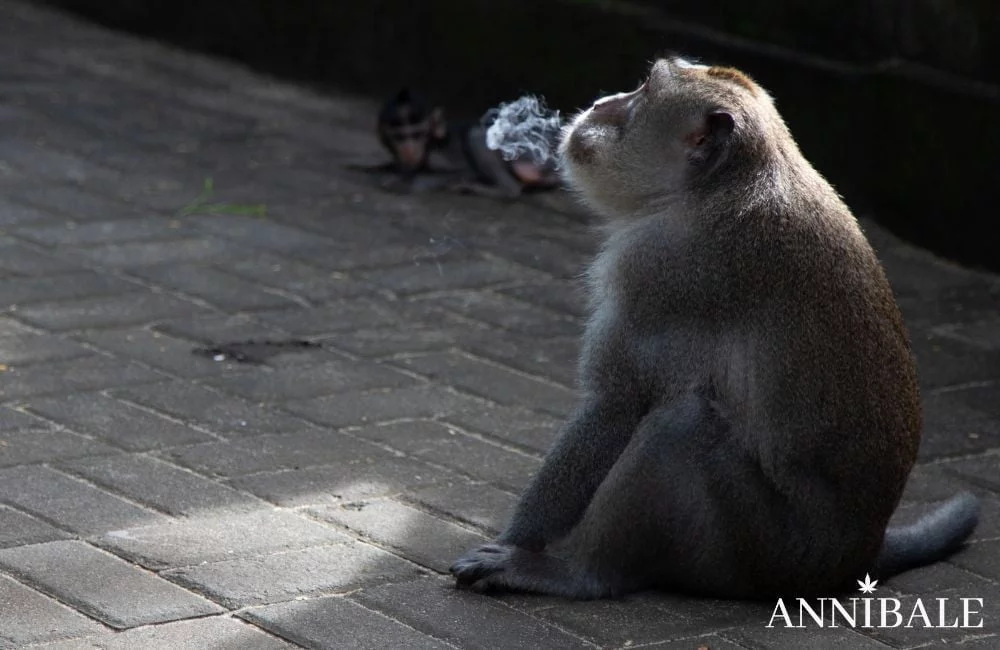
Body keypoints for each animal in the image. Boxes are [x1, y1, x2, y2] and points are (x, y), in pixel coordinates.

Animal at [449, 56, 980, 601]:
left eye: (644, 91)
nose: (603, 103)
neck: (718, 186)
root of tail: (859, 552)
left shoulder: (657, 267)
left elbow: (616, 404)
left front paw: (516, 543)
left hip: (761, 548)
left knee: (681, 425)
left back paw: (580, 573)